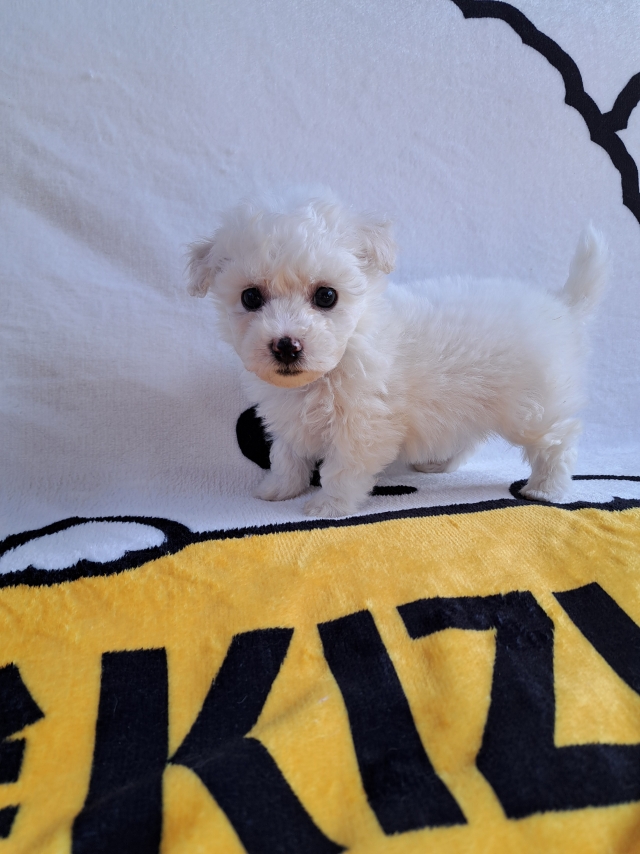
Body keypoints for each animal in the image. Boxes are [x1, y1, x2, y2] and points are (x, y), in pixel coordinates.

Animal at [188, 190, 607, 517]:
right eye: (250, 298)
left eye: (326, 296)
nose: (286, 345)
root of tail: (562, 305)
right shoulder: (288, 418)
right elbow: (287, 455)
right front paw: (279, 489)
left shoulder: (363, 424)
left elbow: (342, 468)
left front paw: (328, 505)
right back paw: (438, 463)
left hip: (532, 406)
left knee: (557, 440)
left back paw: (546, 488)